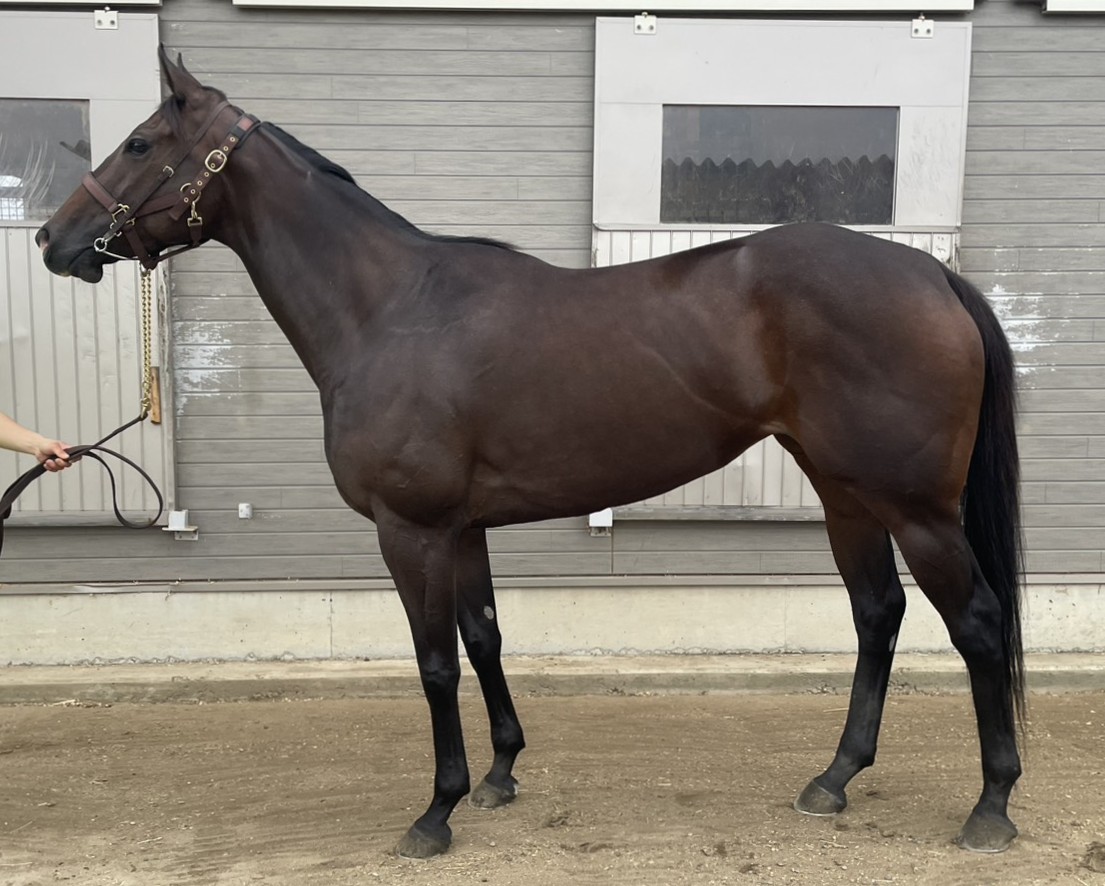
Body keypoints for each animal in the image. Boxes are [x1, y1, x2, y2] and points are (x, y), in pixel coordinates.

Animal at [37, 48, 1025, 859]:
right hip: (845, 495)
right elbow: (483, 636)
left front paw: (435, 812)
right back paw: (832, 780)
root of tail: (931, 274)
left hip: (913, 507)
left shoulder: (411, 531)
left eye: (138, 141)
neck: (389, 310)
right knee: (877, 615)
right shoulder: (463, 527)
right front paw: (500, 775)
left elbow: (433, 661)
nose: (51, 240)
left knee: (975, 623)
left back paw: (989, 807)